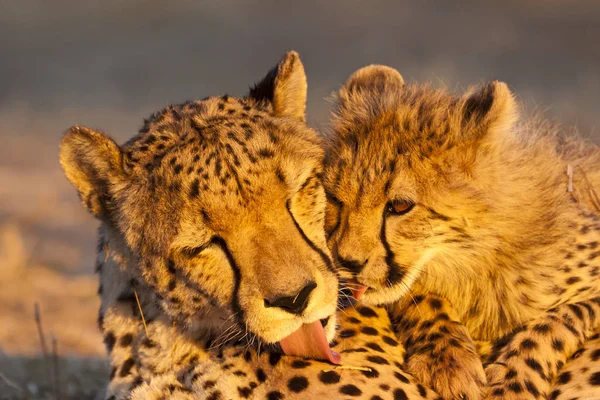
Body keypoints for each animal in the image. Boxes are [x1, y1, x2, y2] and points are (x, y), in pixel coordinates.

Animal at [324, 64, 600, 398]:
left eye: (400, 205)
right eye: (335, 198)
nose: (348, 261)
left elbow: (556, 321)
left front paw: (512, 382)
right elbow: (420, 295)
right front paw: (446, 359)